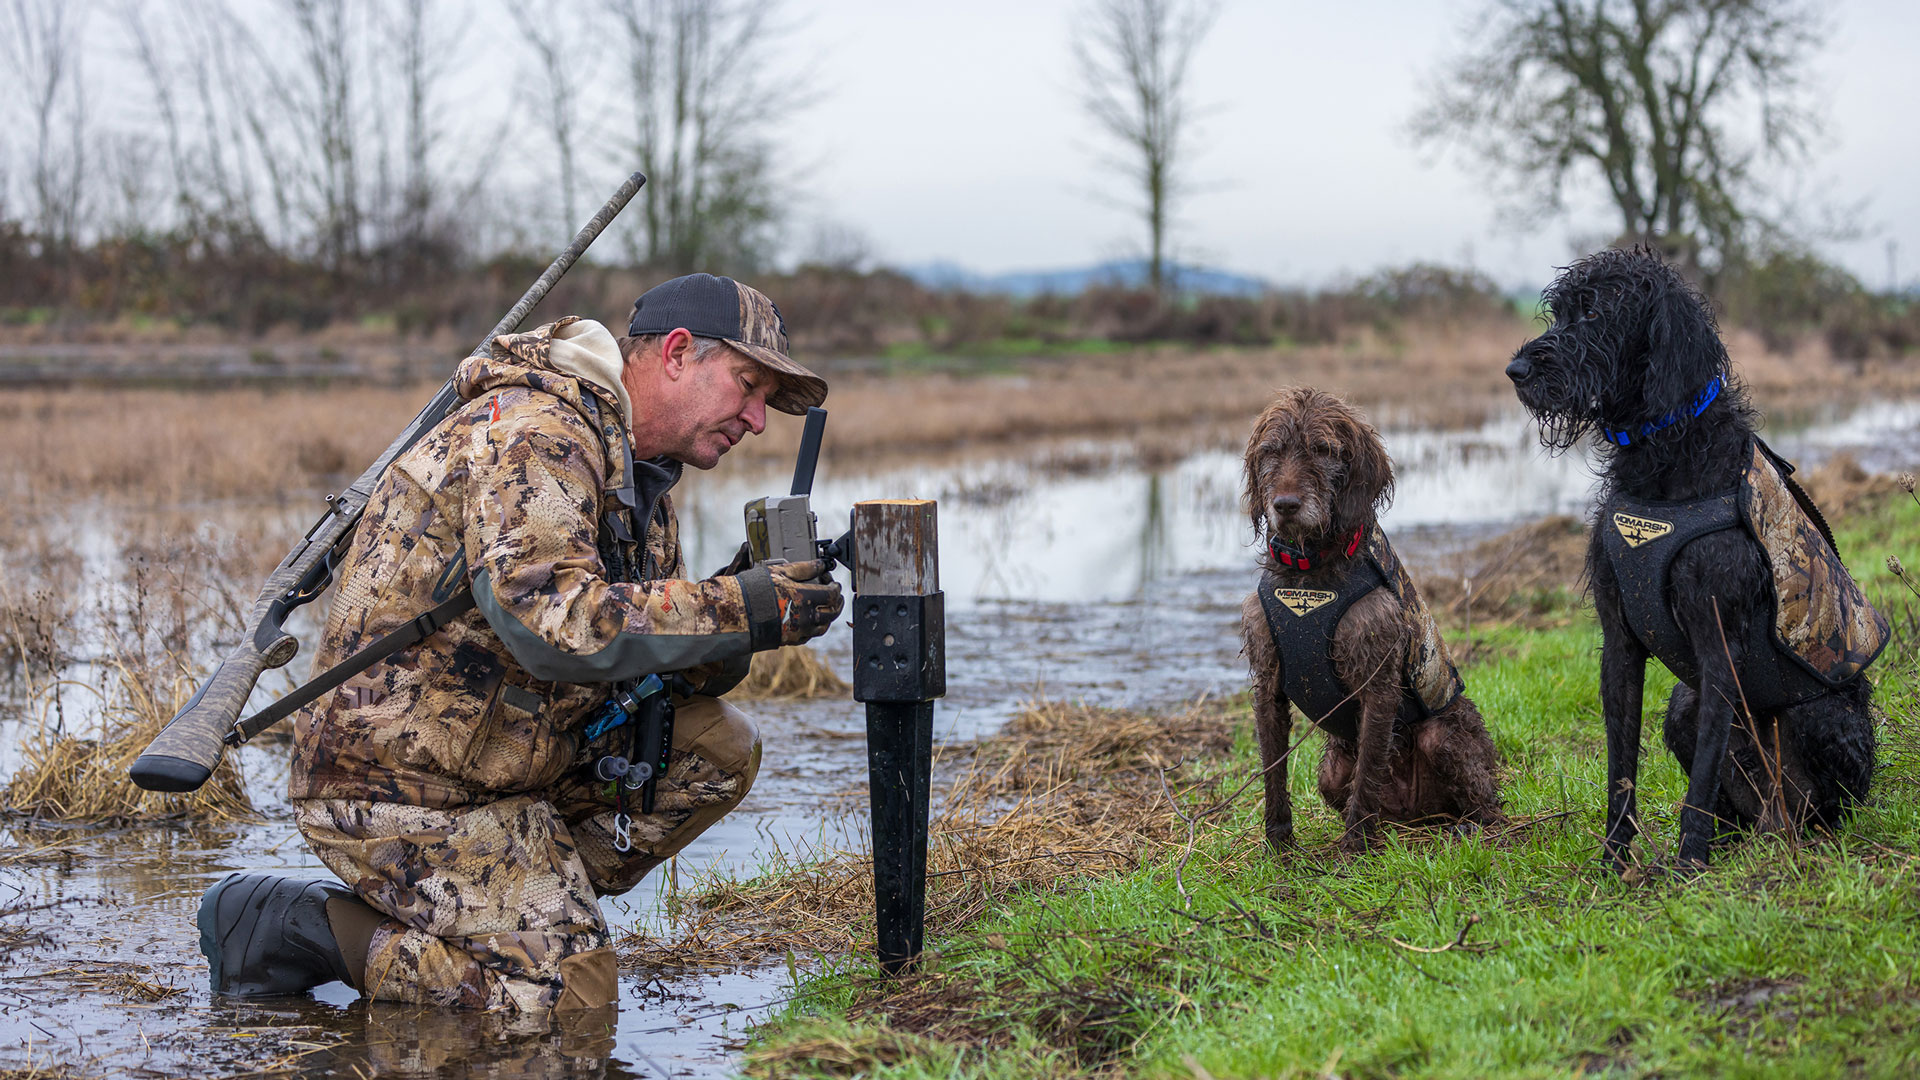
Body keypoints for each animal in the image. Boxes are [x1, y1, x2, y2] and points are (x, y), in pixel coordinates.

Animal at [1244, 386, 1497, 849]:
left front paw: (1355, 847)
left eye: (1323, 450)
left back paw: (1470, 825)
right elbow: (1273, 769)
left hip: (1443, 739)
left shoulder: (1377, 681)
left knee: (1488, 804)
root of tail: (1416, 815)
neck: (1310, 570)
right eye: (1271, 451)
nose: (1285, 504)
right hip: (1332, 773)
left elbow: (1368, 774)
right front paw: (1278, 845)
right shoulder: (1267, 681)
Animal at [1505, 247, 1881, 868]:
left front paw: (1688, 865)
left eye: (1594, 311)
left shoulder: (1718, 643)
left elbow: (1700, 778)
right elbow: (1622, 767)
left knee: (1820, 806)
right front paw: (1614, 860)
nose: (1516, 371)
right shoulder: (1619, 641)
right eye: (1559, 312)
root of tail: (1774, 819)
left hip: (1817, 715)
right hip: (1683, 705)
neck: (1664, 459)